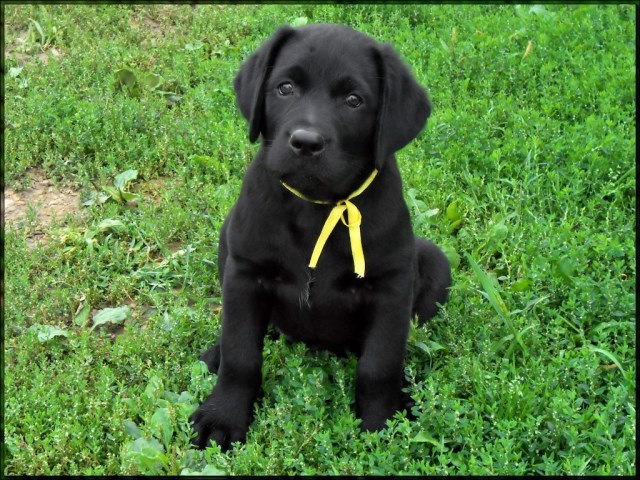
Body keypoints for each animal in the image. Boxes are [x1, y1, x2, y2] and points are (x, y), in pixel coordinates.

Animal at [190, 22, 450, 450]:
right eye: (284, 88)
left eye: (354, 100)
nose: (306, 142)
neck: (317, 208)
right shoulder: (244, 274)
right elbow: (241, 354)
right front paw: (223, 416)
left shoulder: (392, 286)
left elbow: (379, 364)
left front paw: (382, 421)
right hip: (227, 241)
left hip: (434, 261)